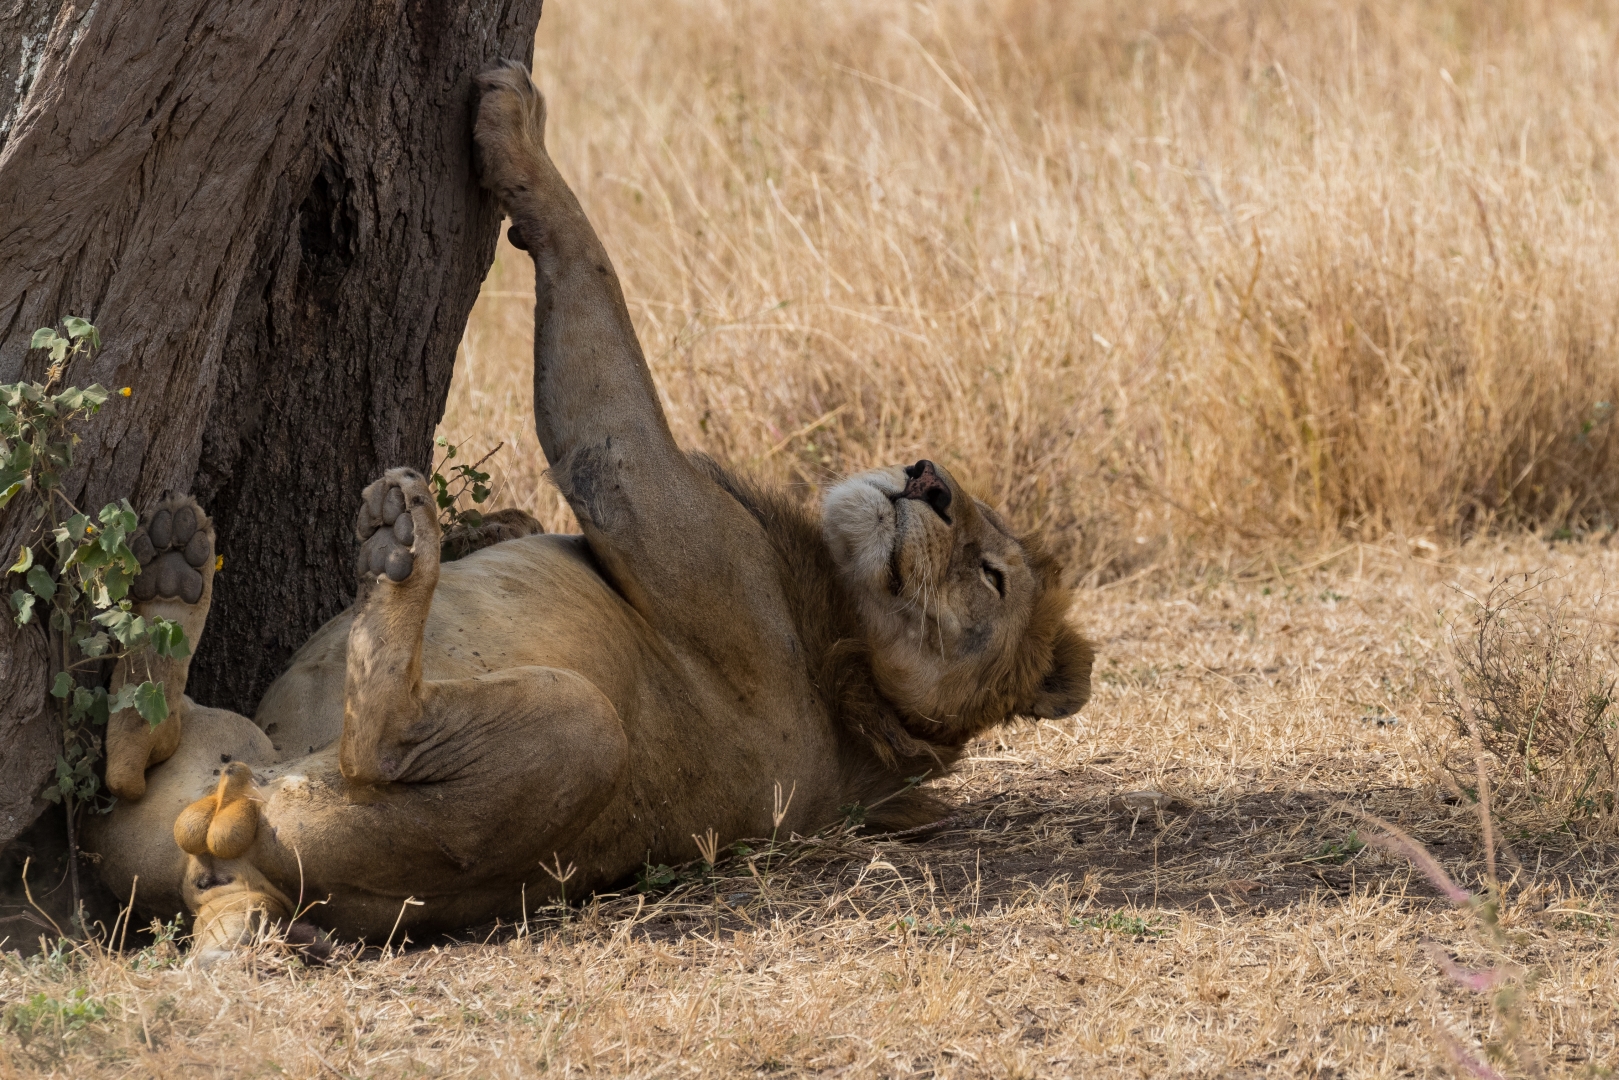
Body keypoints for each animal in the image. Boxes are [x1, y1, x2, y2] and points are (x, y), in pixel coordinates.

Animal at [78, 61, 1087, 952]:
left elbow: (593, 295)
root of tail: (240, 890)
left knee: (374, 744)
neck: (851, 680)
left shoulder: (641, 481)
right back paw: (172, 580)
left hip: (567, 727)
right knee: (134, 761)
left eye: (991, 575)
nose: (929, 478)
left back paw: (393, 550)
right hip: (206, 772)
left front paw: (518, 126)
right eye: (984, 539)